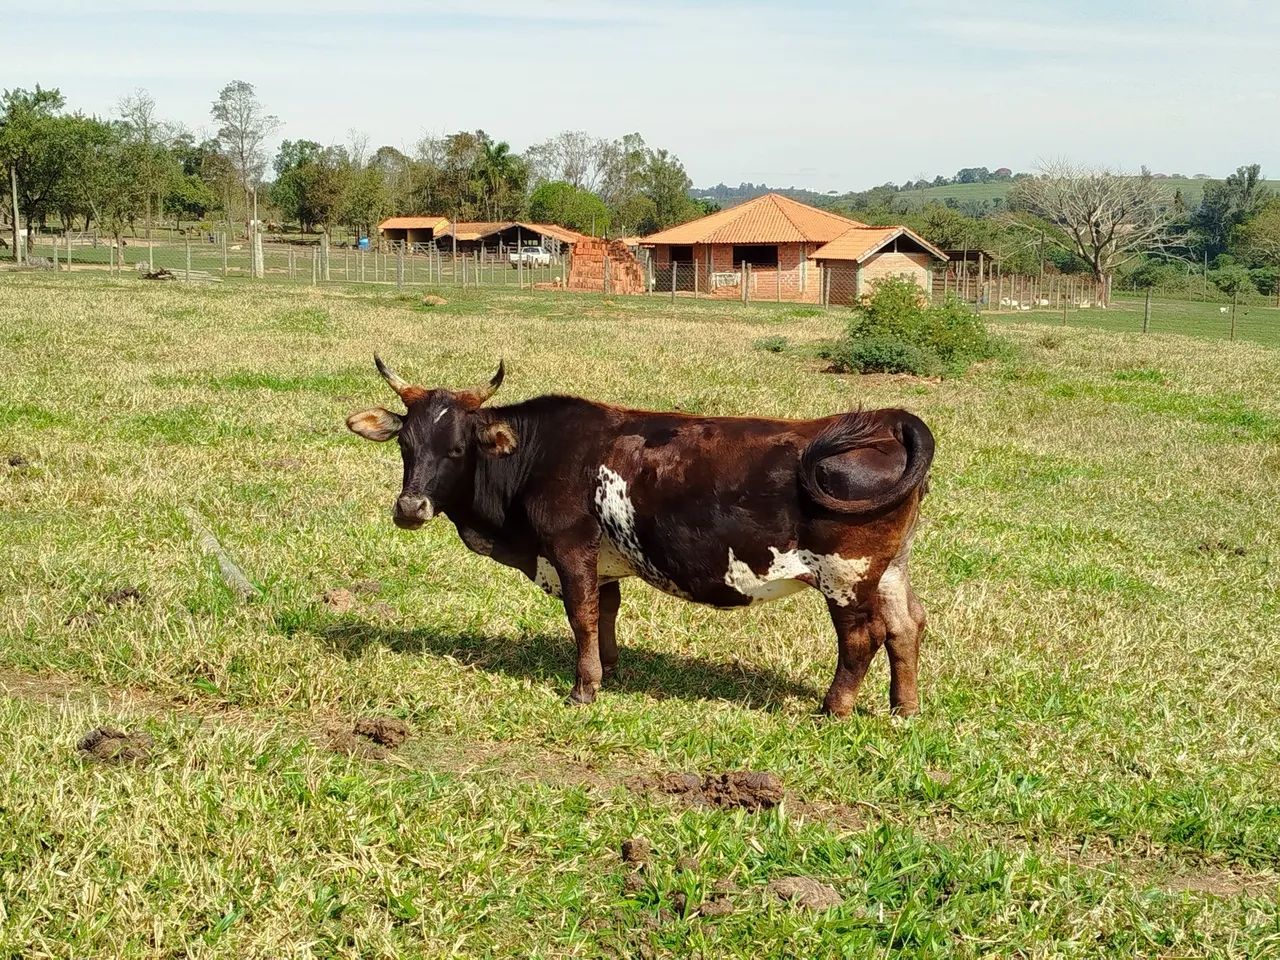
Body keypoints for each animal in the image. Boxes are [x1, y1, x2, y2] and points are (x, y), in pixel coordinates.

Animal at [346, 358, 935, 717]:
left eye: (456, 448)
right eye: (405, 444)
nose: (410, 507)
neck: (536, 455)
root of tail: (887, 420)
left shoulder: (570, 550)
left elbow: (582, 616)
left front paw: (584, 687)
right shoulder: (603, 563)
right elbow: (606, 612)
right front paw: (610, 667)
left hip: (845, 575)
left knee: (863, 637)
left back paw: (833, 708)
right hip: (890, 568)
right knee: (907, 626)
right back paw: (903, 708)